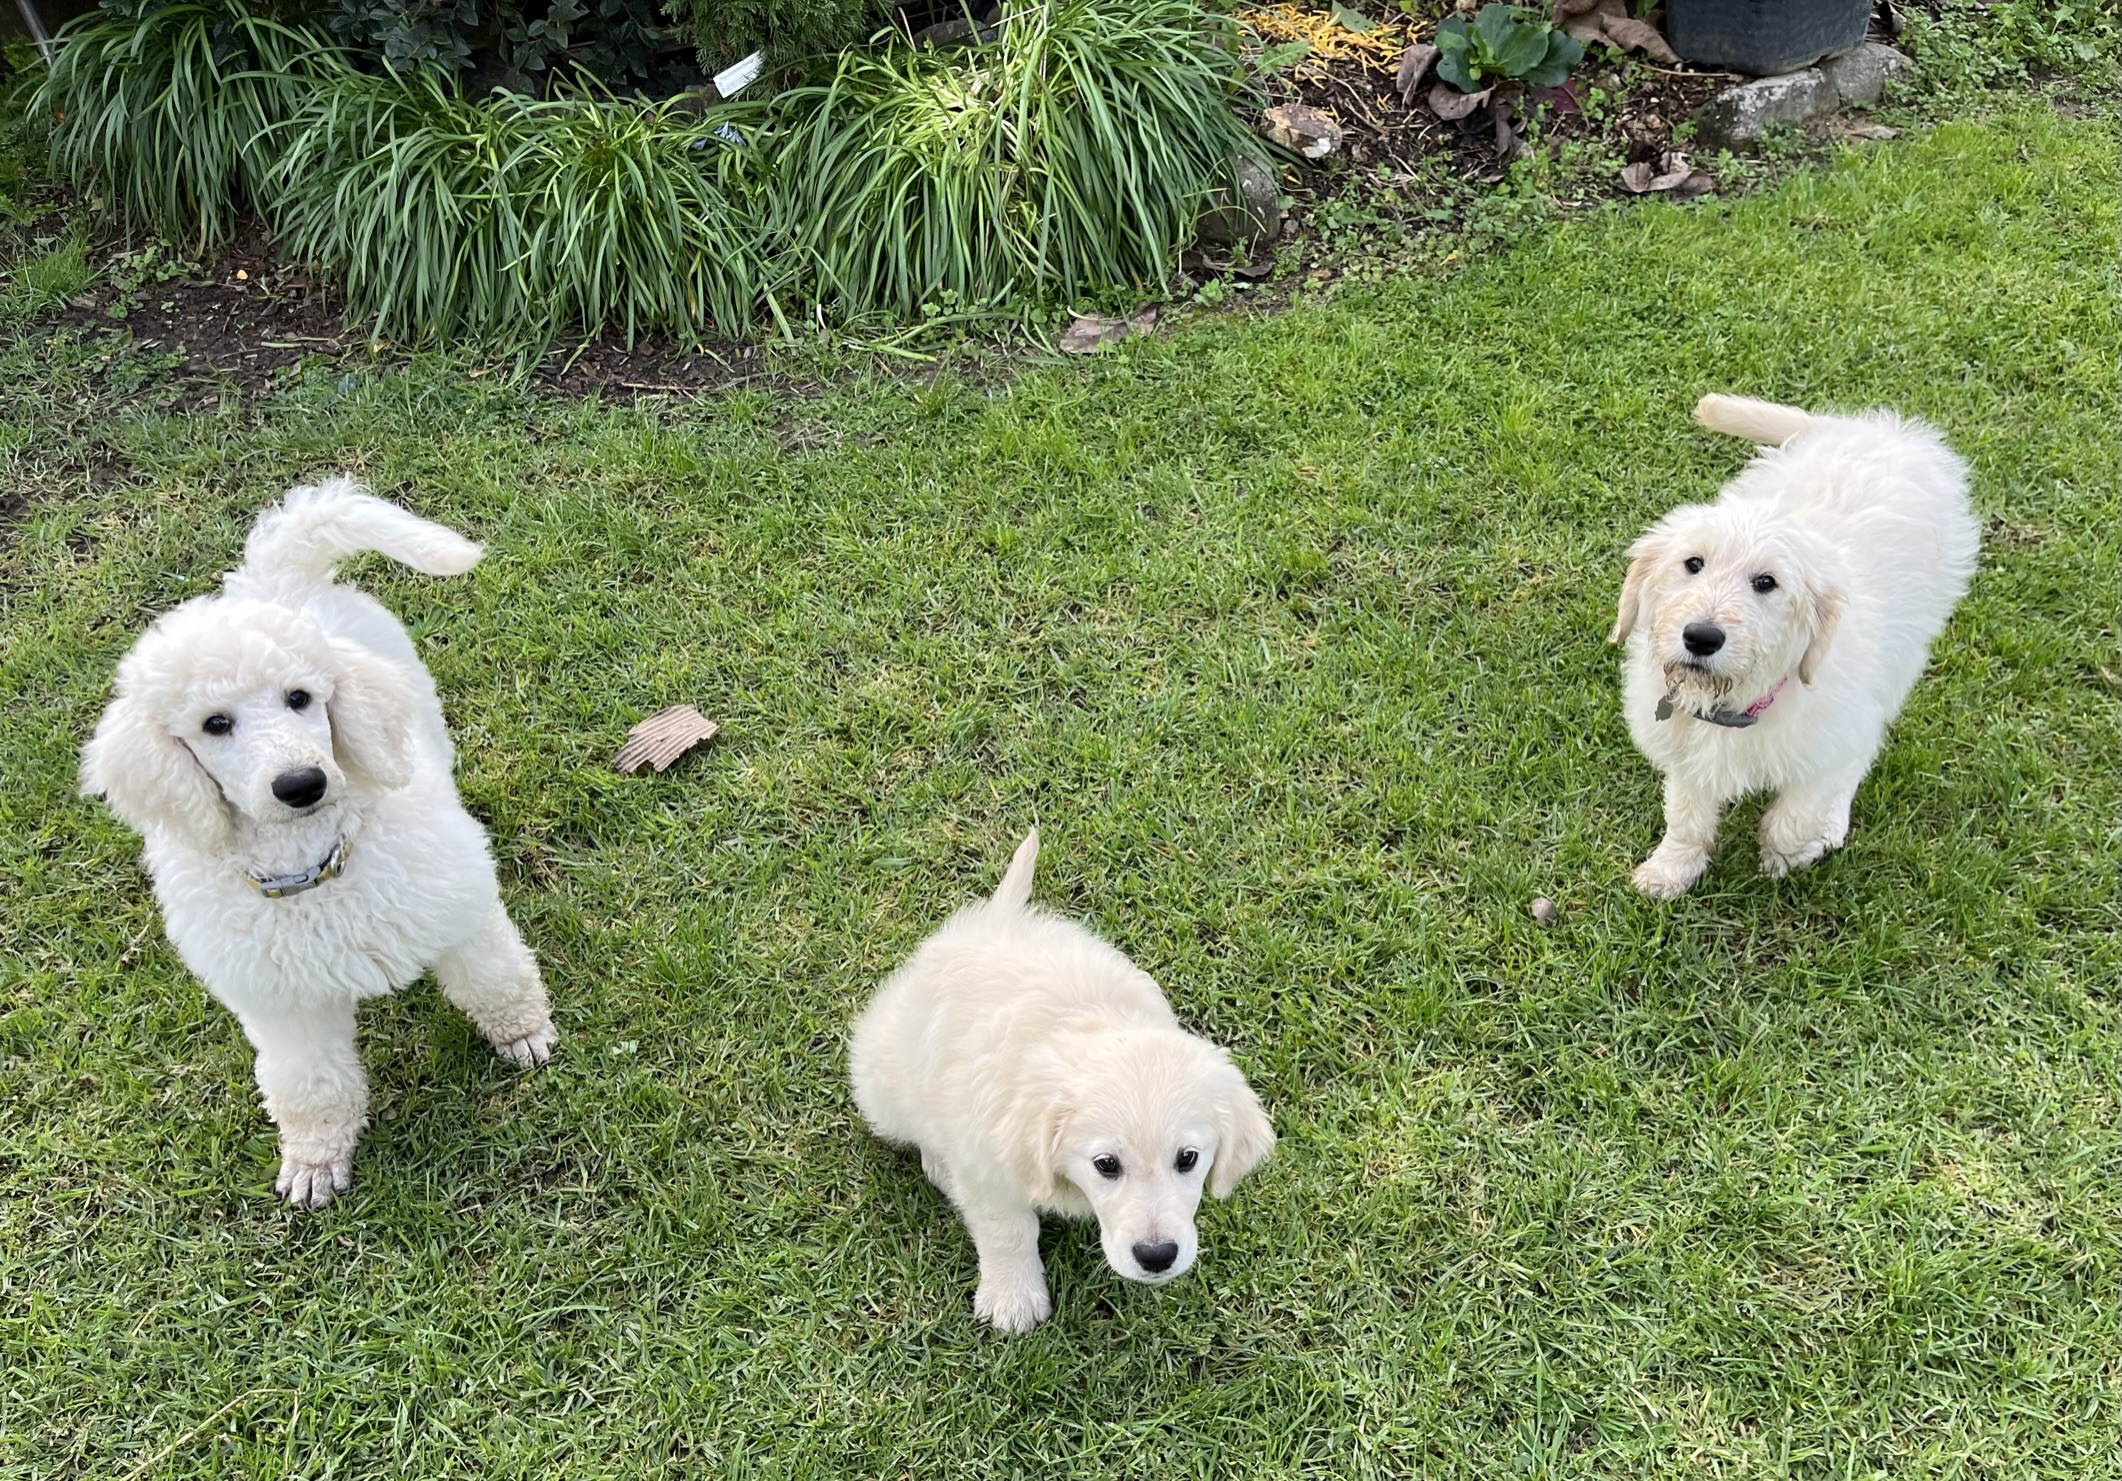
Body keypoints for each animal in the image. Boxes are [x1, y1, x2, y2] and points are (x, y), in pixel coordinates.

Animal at [82, 479, 555, 1205]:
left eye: (300, 697)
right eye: (214, 724)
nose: (301, 783)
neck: (314, 868)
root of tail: (272, 577)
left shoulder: (457, 909)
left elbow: (494, 976)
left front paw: (525, 1032)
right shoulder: (282, 1006)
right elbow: (309, 1082)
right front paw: (314, 1161)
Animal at [848, 831, 1273, 1323]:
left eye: (1188, 1158)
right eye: (1105, 1164)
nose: (1157, 1256)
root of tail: (997, 916)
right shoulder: (986, 1165)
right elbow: (1008, 1230)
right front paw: (1013, 1299)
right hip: (883, 1083)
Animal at [1612, 392, 1977, 895]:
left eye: (1766, 582)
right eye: (1693, 563)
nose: (1701, 637)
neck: (1739, 704)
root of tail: (1883, 430)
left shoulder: (1835, 734)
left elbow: (1798, 811)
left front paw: (1790, 854)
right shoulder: (1686, 754)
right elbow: (1686, 817)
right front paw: (1671, 870)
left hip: (1907, 648)